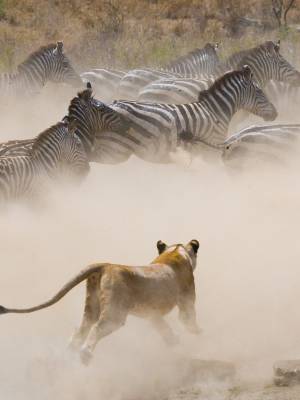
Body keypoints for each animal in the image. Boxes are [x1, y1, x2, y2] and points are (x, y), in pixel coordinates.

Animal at [93, 65, 276, 162]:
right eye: (260, 92)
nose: (275, 113)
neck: (215, 111)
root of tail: (112, 103)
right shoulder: (210, 148)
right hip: (115, 149)